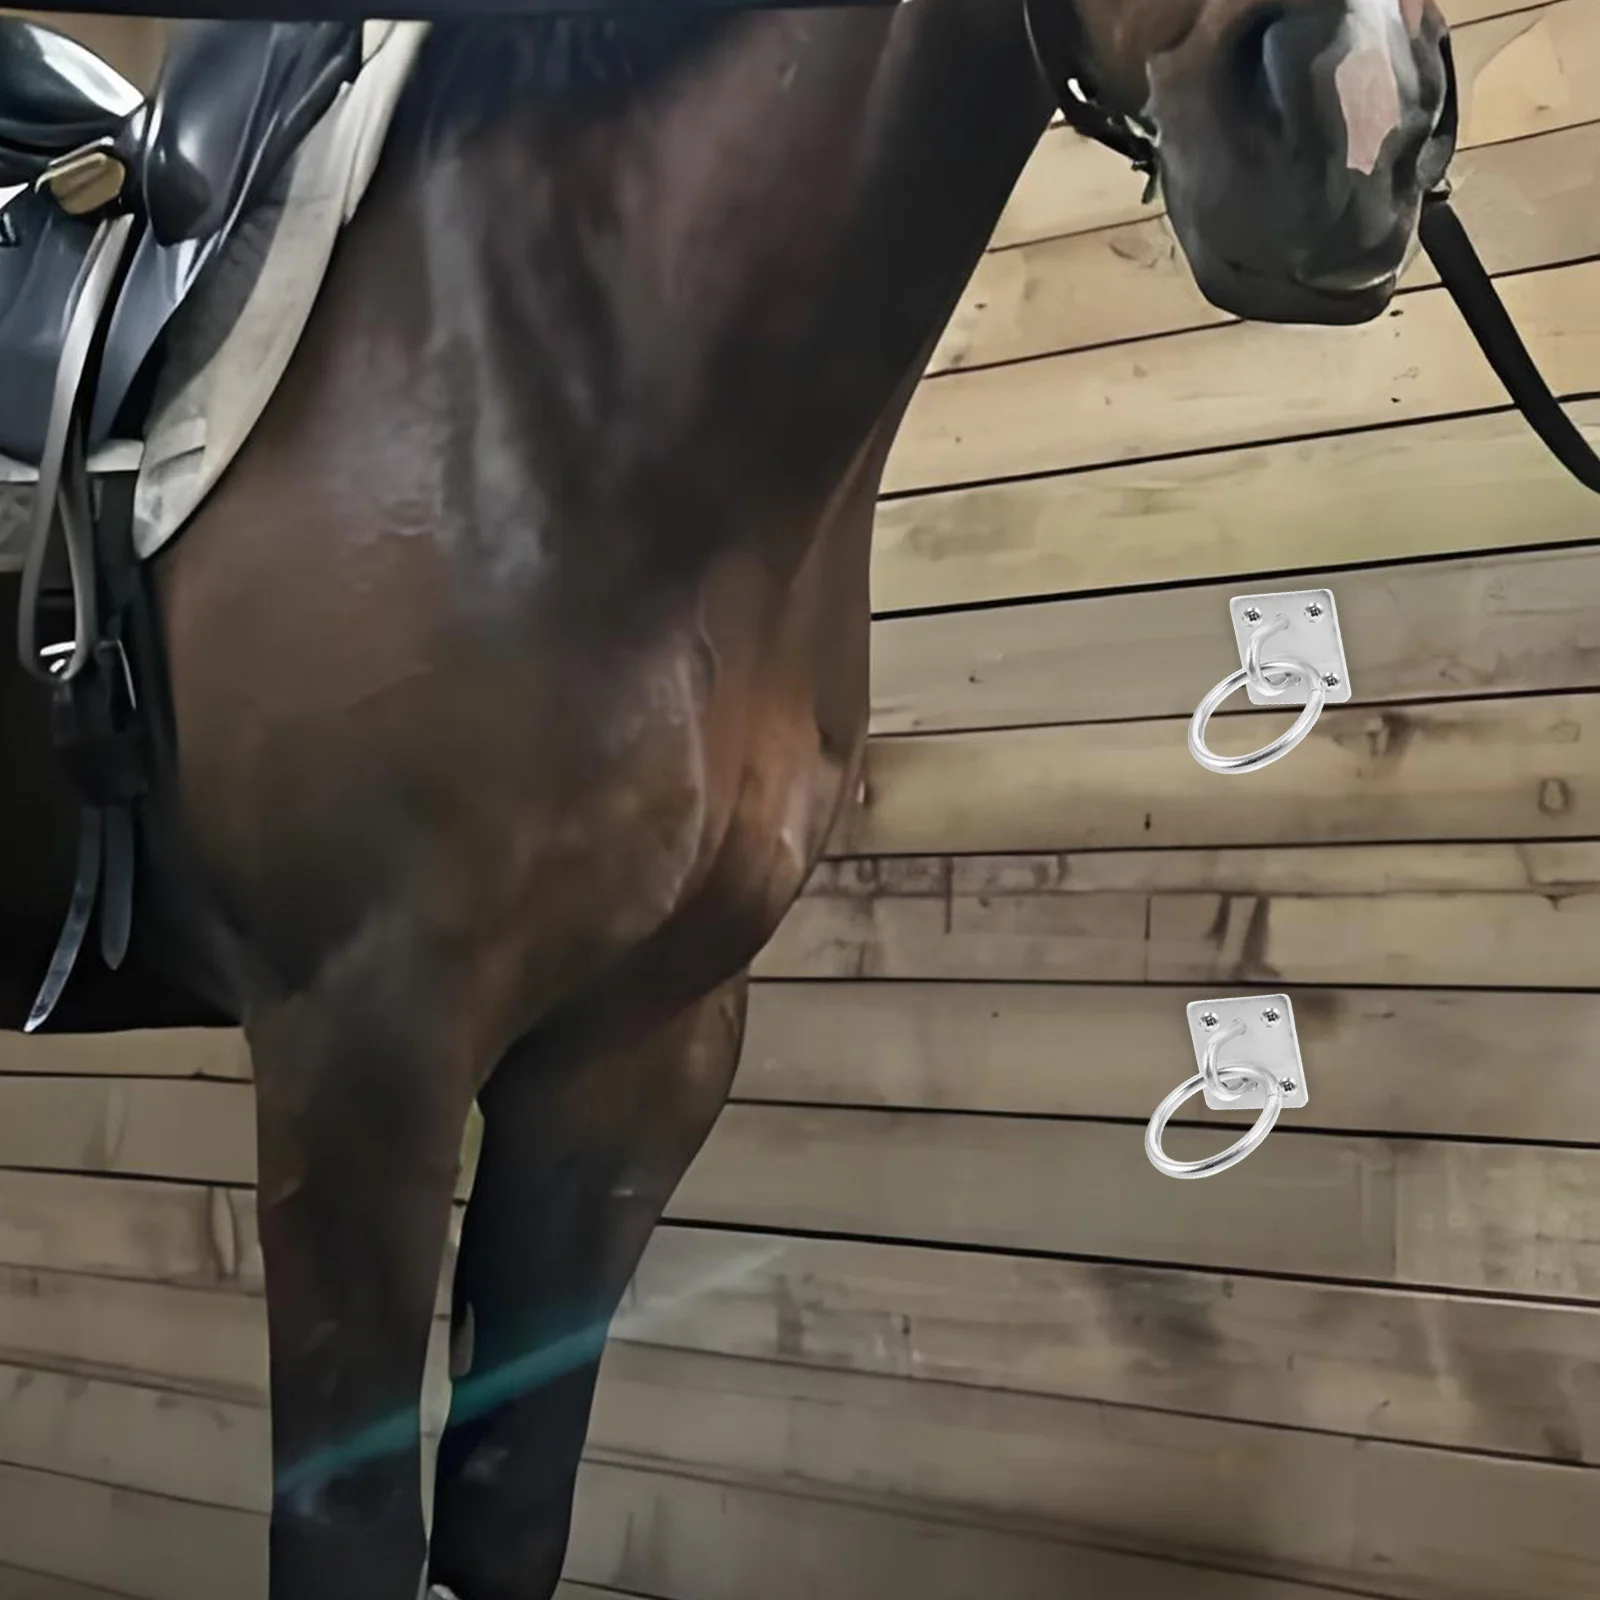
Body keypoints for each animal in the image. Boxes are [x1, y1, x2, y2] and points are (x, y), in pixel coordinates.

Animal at [0, 0, 1454, 1595]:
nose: (1360, 124)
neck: (546, 370)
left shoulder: (635, 1049)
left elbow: (511, 1499)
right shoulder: (359, 1042)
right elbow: (351, 1525)